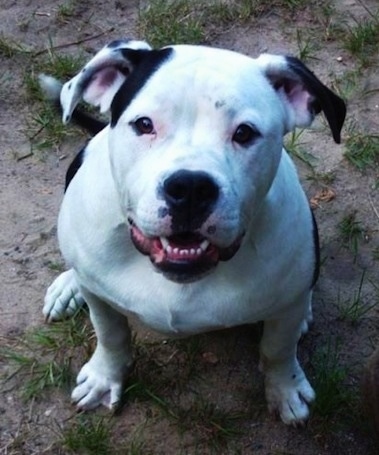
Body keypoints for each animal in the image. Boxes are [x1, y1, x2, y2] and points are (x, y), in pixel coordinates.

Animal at [40, 38, 346, 424]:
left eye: (245, 133)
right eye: (144, 124)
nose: (190, 187)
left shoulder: (284, 310)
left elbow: (278, 349)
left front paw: (285, 390)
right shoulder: (101, 300)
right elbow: (110, 334)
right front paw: (104, 377)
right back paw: (68, 286)